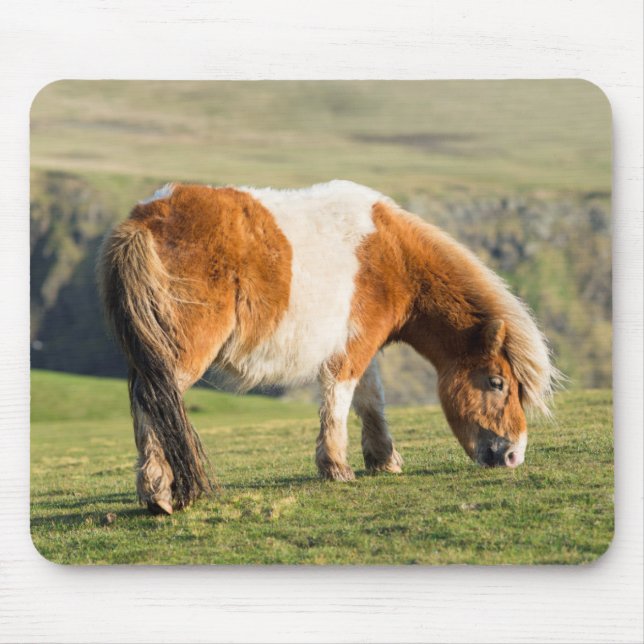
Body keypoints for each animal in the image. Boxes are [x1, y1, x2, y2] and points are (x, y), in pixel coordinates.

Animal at [98, 180, 558, 515]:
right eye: (497, 383)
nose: (513, 455)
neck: (392, 255)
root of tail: (144, 219)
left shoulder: (365, 346)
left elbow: (371, 401)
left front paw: (383, 460)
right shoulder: (353, 349)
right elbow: (339, 399)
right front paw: (337, 467)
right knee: (154, 401)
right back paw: (158, 494)